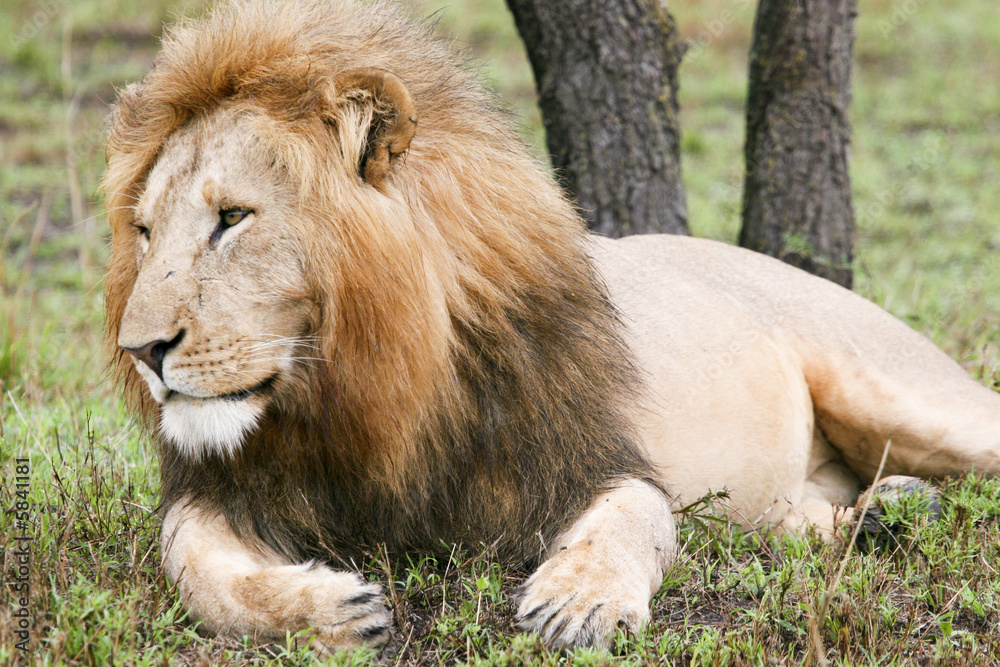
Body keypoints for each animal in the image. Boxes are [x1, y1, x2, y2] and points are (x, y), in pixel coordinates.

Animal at [102, 0, 1000, 653]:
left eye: (232, 218)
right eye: (144, 231)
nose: (140, 351)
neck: (360, 385)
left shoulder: (591, 453)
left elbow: (634, 520)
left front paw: (579, 606)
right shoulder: (222, 487)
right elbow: (191, 562)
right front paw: (329, 611)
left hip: (904, 395)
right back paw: (890, 512)